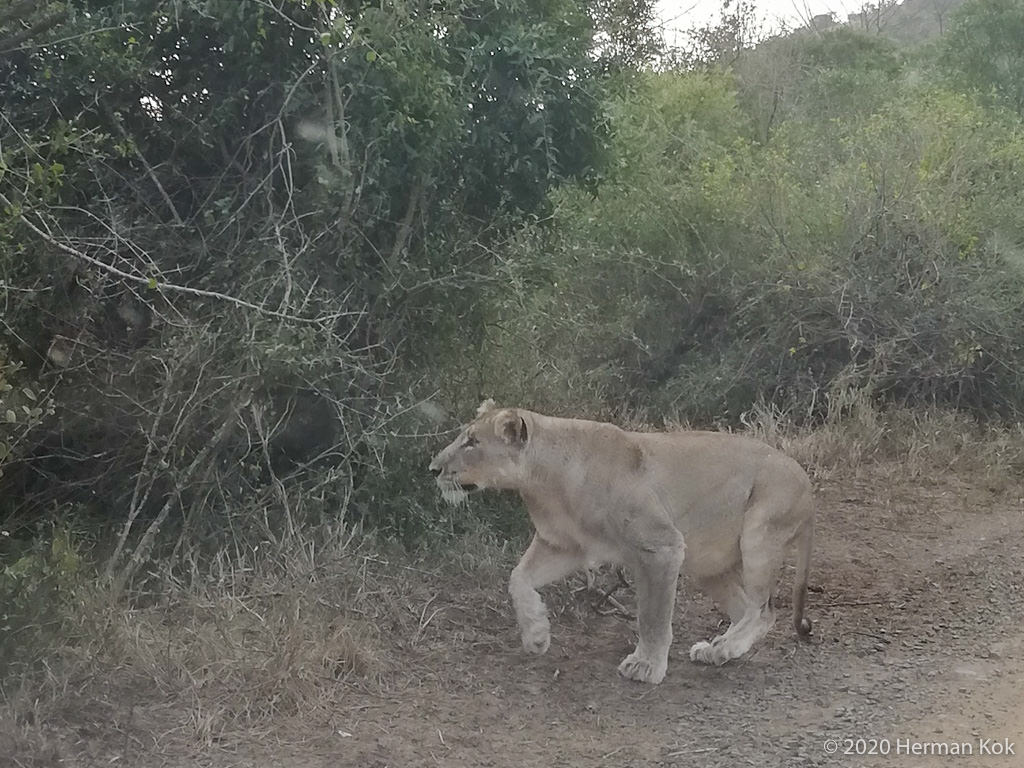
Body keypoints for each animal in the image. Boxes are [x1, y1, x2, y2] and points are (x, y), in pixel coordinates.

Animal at [428, 400, 815, 685]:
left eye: (472, 442)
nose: (433, 469)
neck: (544, 483)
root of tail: (805, 481)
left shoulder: (661, 547)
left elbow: (652, 616)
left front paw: (646, 666)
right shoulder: (563, 545)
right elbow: (518, 578)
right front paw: (536, 634)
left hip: (759, 535)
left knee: (763, 611)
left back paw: (723, 648)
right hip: (708, 565)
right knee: (744, 607)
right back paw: (717, 650)